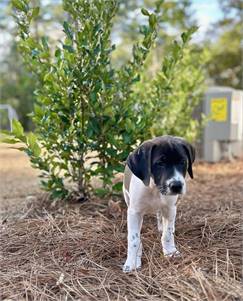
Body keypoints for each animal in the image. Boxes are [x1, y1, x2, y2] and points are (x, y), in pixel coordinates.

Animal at [122, 135, 195, 272]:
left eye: (183, 162)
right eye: (160, 163)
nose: (176, 186)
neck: (154, 188)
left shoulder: (170, 208)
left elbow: (168, 233)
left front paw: (170, 252)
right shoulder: (134, 212)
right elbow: (134, 238)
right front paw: (132, 262)